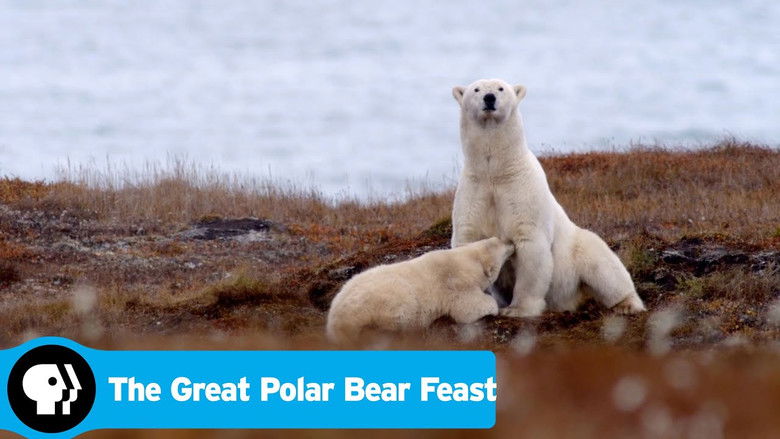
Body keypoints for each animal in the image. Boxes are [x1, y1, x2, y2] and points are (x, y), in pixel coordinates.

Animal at [326, 237, 514, 343]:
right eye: (501, 242)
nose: (512, 242)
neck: (469, 260)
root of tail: (335, 322)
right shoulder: (455, 282)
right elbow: (467, 307)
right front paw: (494, 306)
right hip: (381, 305)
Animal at [450, 78, 646, 318]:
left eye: (500, 88)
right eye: (476, 89)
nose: (489, 98)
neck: (497, 173)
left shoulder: (522, 192)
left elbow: (531, 246)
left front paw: (518, 309)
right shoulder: (474, 192)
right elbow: (467, 239)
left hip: (579, 249)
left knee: (604, 267)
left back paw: (627, 304)